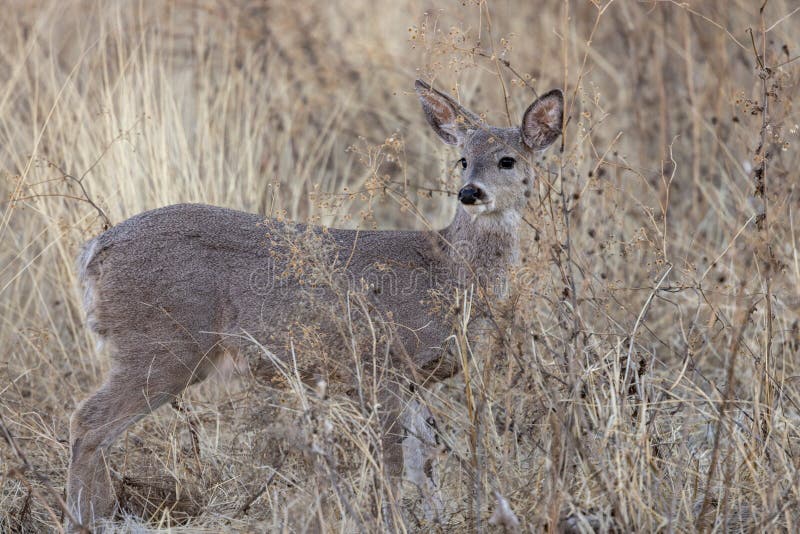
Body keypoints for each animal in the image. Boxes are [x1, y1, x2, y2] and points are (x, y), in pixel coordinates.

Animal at [67, 79, 564, 532]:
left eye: (507, 160)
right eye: (463, 160)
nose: (470, 193)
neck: (448, 272)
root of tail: (94, 251)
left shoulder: (414, 379)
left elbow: (425, 461)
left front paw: (438, 520)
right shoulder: (381, 363)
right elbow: (392, 461)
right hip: (163, 343)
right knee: (88, 422)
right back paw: (86, 519)